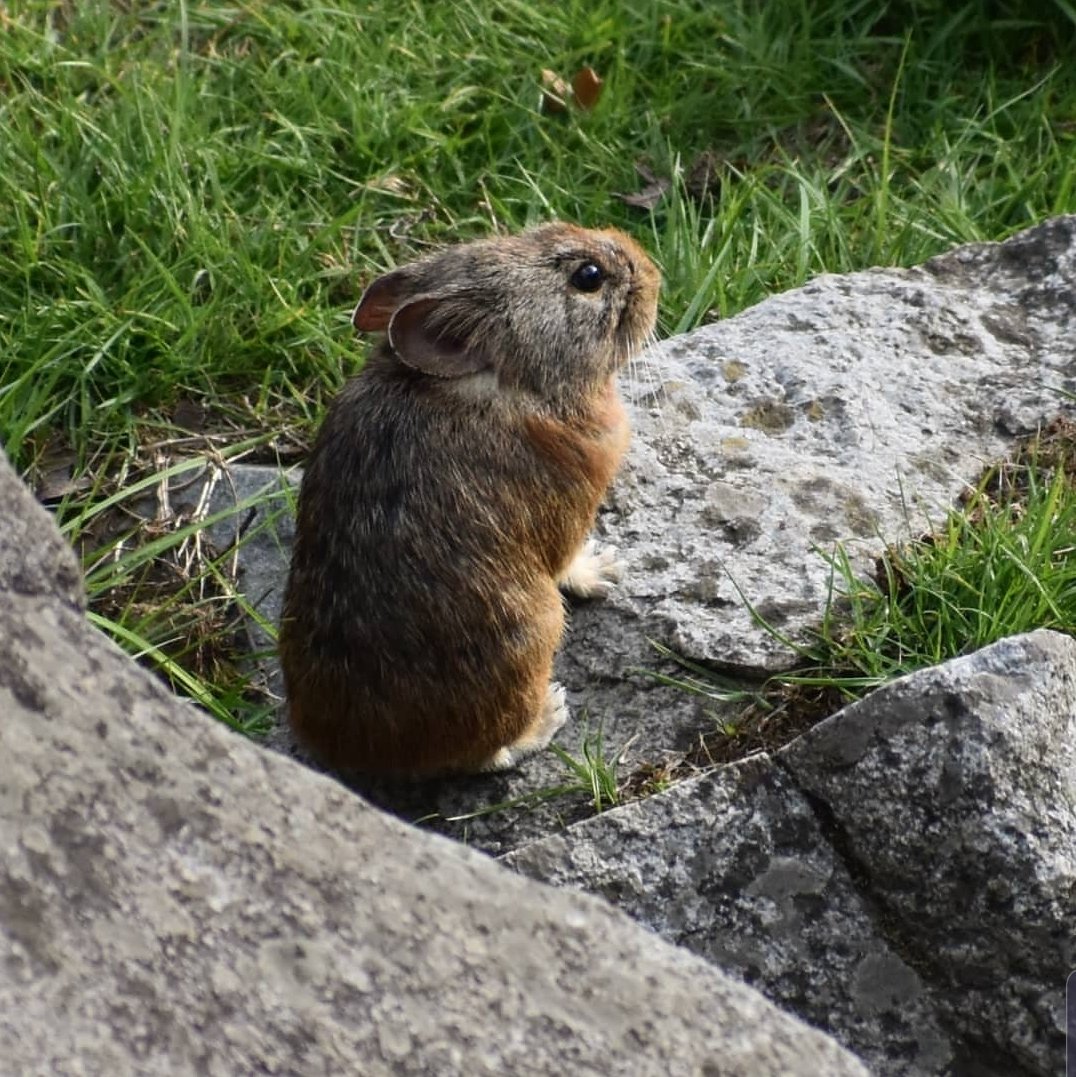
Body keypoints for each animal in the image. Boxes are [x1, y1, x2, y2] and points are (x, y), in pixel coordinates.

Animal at [278, 222, 660, 776]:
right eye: (587, 277)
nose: (652, 269)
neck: (507, 382)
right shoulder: (567, 512)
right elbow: (567, 561)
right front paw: (603, 569)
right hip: (537, 631)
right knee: (486, 754)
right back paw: (546, 718)